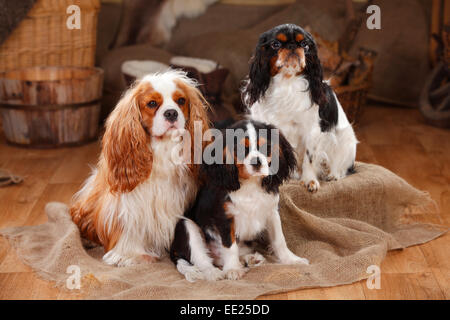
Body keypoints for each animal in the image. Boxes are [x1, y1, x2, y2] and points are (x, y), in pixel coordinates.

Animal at [70, 70, 209, 268]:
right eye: (152, 104)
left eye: (181, 101)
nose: (171, 113)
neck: (163, 148)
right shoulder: (128, 203)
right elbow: (129, 226)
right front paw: (130, 254)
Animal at [170, 119, 310, 282]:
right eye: (243, 149)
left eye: (266, 148)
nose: (256, 162)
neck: (250, 184)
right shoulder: (225, 218)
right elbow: (230, 246)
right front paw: (233, 269)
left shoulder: (272, 212)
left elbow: (279, 239)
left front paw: (291, 260)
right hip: (186, 226)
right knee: (203, 259)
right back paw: (214, 273)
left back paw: (249, 259)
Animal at [243, 24, 358, 192]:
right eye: (276, 44)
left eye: (304, 45)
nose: (292, 46)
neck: (286, 82)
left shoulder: (312, 130)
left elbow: (309, 158)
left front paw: (309, 180)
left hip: (345, 140)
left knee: (343, 167)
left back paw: (333, 174)